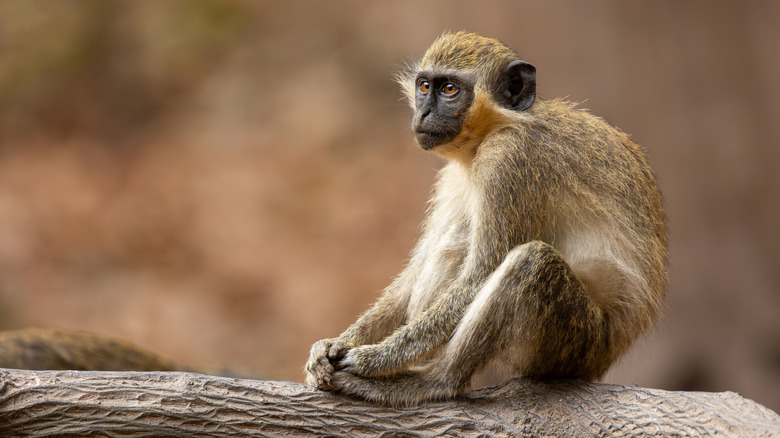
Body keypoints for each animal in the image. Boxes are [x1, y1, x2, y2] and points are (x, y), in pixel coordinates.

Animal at [302, 30, 668, 408]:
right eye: (424, 86)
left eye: (449, 89)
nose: (424, 113)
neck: (494, 130)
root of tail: (606, 357)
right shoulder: (451, 178)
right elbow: (410, 280)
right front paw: (335, 343)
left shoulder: (508, 159)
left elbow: (479, 277)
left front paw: (372, 359)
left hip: (576, 343)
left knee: (531, 261)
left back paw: (435, 380)